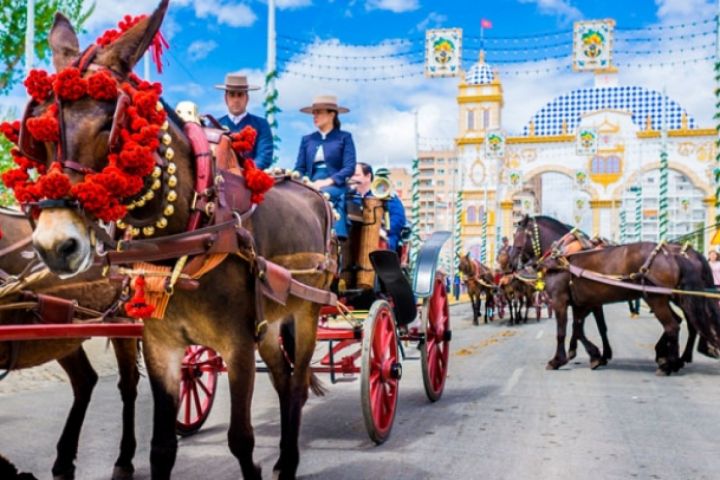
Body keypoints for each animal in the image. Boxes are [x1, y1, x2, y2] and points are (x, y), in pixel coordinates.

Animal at [0, 211, 141, 480]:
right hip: (62, 332)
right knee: (85, 380)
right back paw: (64, 460)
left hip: (125, 320)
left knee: (128, 385)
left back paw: (124, 459)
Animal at [25, 5, 334, 478]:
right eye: (39, 132)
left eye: (109, 125)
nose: (55, 245)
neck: (186, 237)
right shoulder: (161, 345)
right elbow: (162, 447)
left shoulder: (238, 345)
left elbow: (241, 440)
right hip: (270, 324)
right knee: (283, 380)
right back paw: (284, 457)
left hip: (306, 313)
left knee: (296, 385)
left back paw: (289, 460)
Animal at [512, 215, 720, 376]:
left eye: (517, 236)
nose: (513, 262)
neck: (562, 256)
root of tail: (672, 254)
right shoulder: (584, 302)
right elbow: (583, 327)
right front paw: (595, 355)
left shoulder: (560, 301)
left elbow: (563, 331)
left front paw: (558, 359)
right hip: (668, 297)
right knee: (683, 322)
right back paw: (672, 358)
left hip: (656, 298)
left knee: (674, 326)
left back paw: (670, 364)